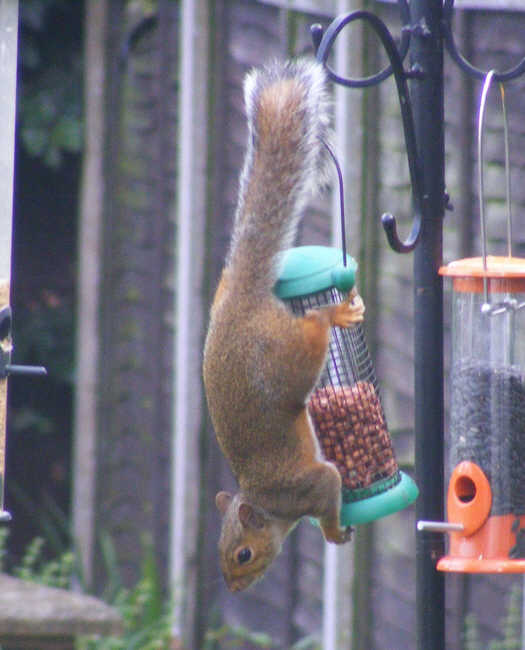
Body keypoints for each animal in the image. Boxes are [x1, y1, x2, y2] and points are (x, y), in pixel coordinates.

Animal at [203, 59, 365, 592]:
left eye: (244, 554)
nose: (234, 587)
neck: (272, 507)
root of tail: (240, 298)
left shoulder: (315, 484)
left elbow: (330, 495)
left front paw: (334, 533)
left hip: (287, 357)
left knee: (314, 328)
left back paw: (335, 313)